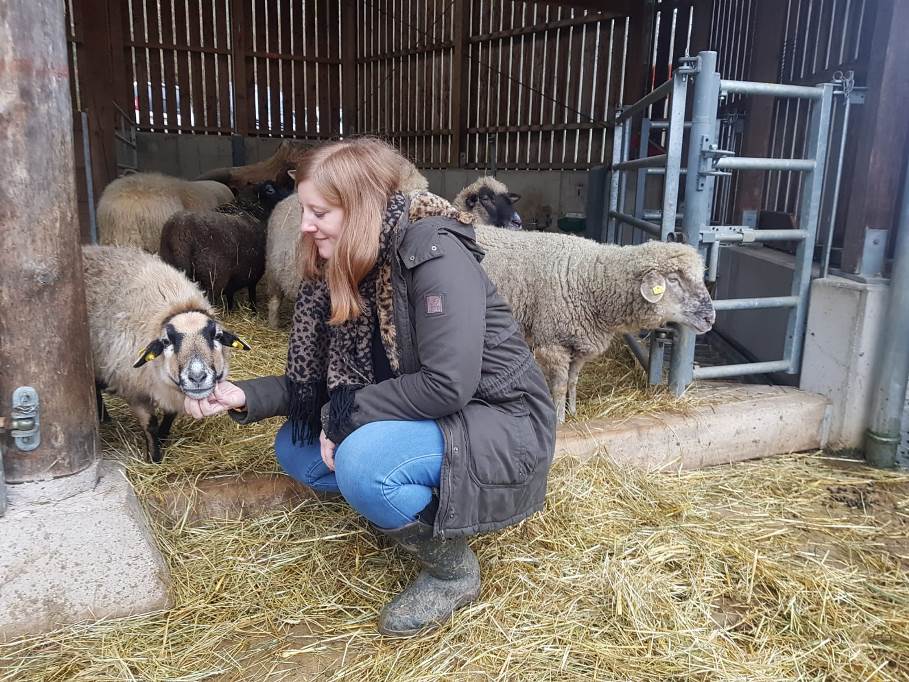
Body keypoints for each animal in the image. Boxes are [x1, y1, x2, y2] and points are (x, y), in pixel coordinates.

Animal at [84, 244, 250, 462]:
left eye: (217, 335)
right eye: (166, 341)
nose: (197, 377)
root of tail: (88, 249)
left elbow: (170, 415)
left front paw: (163, 436)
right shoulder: (135, 390)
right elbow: (150, 425)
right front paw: (154, 458)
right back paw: (103, 417)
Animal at [158, 179, 292, 310]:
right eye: (270, 190)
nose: (290, 196)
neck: (254, 211)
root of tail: (179, 234)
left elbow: (230, 296)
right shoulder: (253, 273)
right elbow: (252, 295)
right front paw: (254, 311)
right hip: (212, 280)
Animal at [476, 227, 716, 420]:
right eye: (674, 279)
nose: (710, 318)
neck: (591, 280)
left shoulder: (581, 343)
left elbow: (573, 381)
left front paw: (572, 411)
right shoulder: (553, 343)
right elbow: (560, 386)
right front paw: (559, 419)